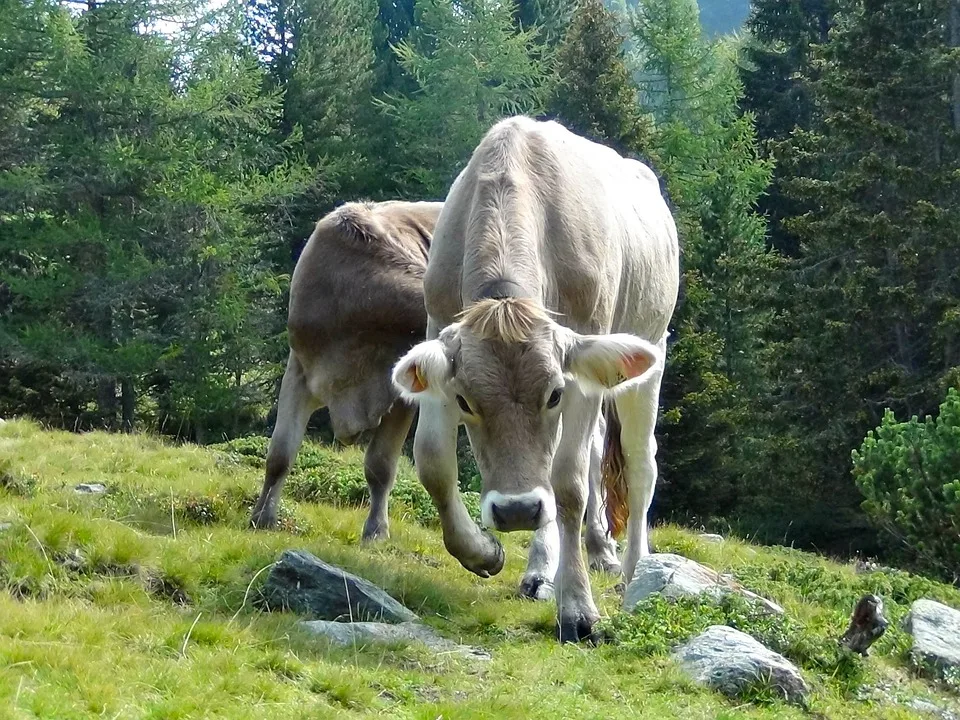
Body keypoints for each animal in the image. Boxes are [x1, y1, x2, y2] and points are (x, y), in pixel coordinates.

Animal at [251, 200, 620, 600]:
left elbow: (380, 465)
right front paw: (262, 517)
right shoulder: (300, 370)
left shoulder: (400, 397)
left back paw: (599, 550)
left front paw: (375, 531)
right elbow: (280, 451)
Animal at [388, 116, 676, 640]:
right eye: (465, 401)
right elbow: (432, 459)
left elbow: (568, 483)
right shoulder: (438, 327)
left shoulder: (582, 359)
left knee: (639, 462)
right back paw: (557, 564)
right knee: (592, 451)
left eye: (554, 393)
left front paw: (578, 608)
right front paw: (482, 552)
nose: (516, 510)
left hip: (652, 347)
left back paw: (632, 571)